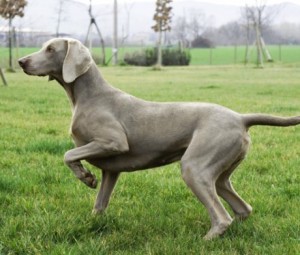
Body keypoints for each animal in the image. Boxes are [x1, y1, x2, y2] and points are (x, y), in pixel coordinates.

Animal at [19, 37, 300, 239]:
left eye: (50, 49)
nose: (21, 61)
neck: (87, 96)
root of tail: (241, 117)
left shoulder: (114, 142)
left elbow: (68, 154)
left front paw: (85, 176)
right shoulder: (111, 169)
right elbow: (100, 203)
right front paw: (93, 220)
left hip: (195, 167)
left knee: (222, 217)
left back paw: (206, 240)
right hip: (220, 173)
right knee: (242, 208)